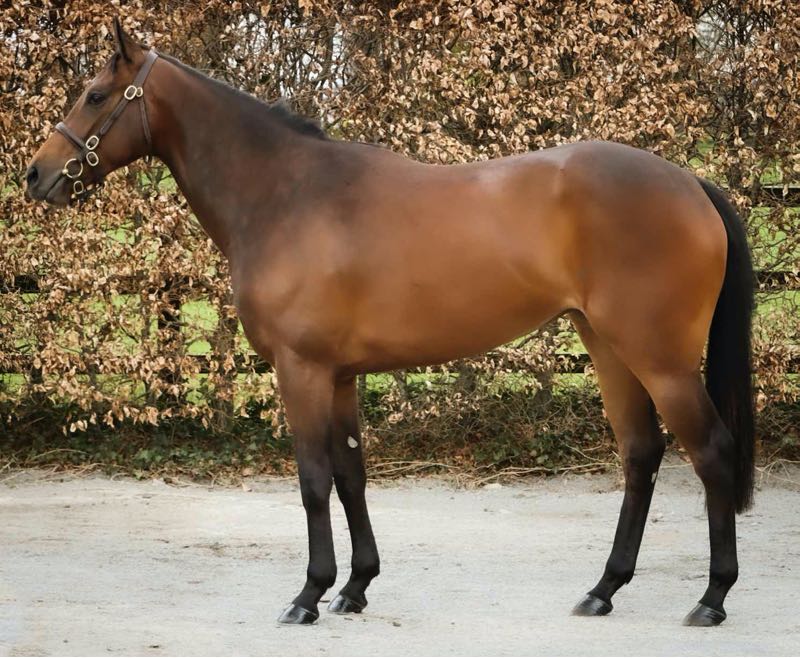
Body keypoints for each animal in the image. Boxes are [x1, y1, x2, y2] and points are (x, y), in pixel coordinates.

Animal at [26, 20, 755, 627]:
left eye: (95, 95)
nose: (36, 176)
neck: (286, 195)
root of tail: (690, 183)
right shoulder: (341, 375)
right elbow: (351, 474)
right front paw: (354, 588)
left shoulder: (301, 369)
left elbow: (313, 478)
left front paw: (308, 594)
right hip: (607, 347)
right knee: (641, 453)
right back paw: (603, 590)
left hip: (660, 360)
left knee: (711, 452)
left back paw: (712, 598)